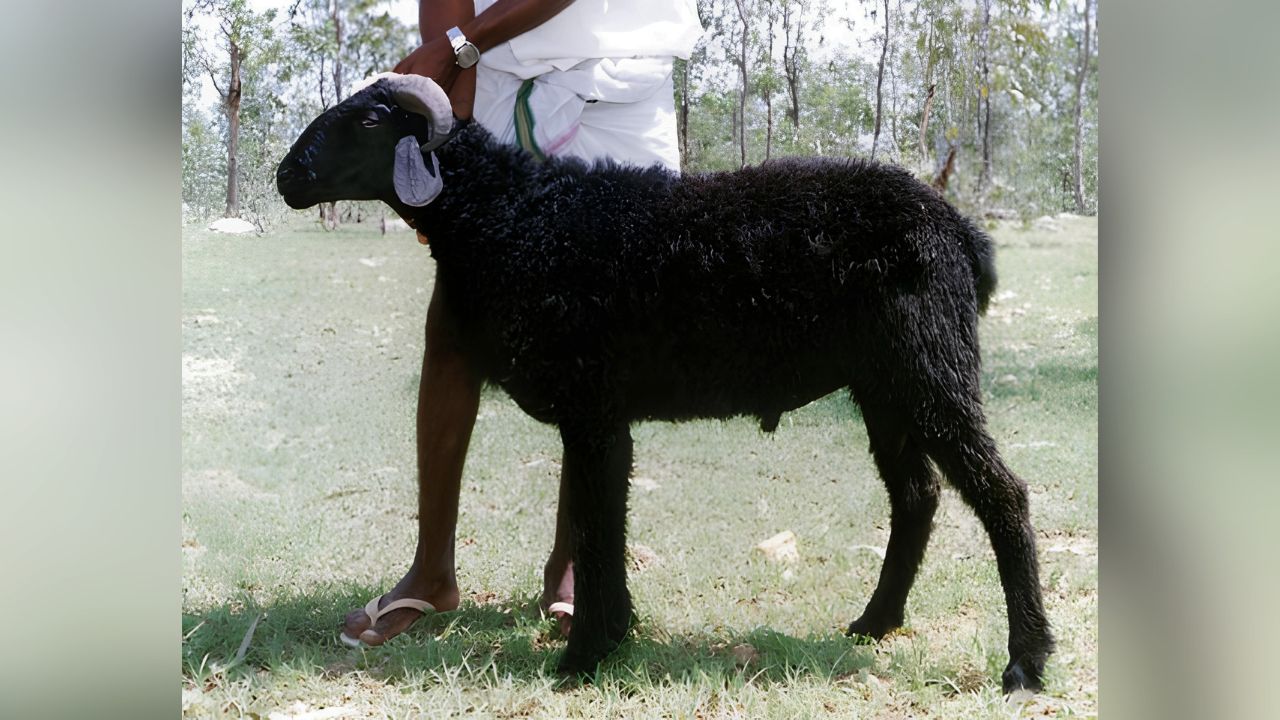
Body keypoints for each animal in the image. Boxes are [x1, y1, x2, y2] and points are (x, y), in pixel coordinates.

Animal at [276, 73, 1053, 693]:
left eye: (369, 121)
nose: (286, 176)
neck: (516, 215)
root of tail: (962, 232)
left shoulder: (592, 411)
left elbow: (595, 530)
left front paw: (583, 657)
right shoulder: (598, 416)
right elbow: (597, 523)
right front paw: (610, 635)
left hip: (930, 372)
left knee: (1002, 496)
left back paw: (1026, 661)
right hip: (885, 387)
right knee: (917, 497)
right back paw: (875, 621)